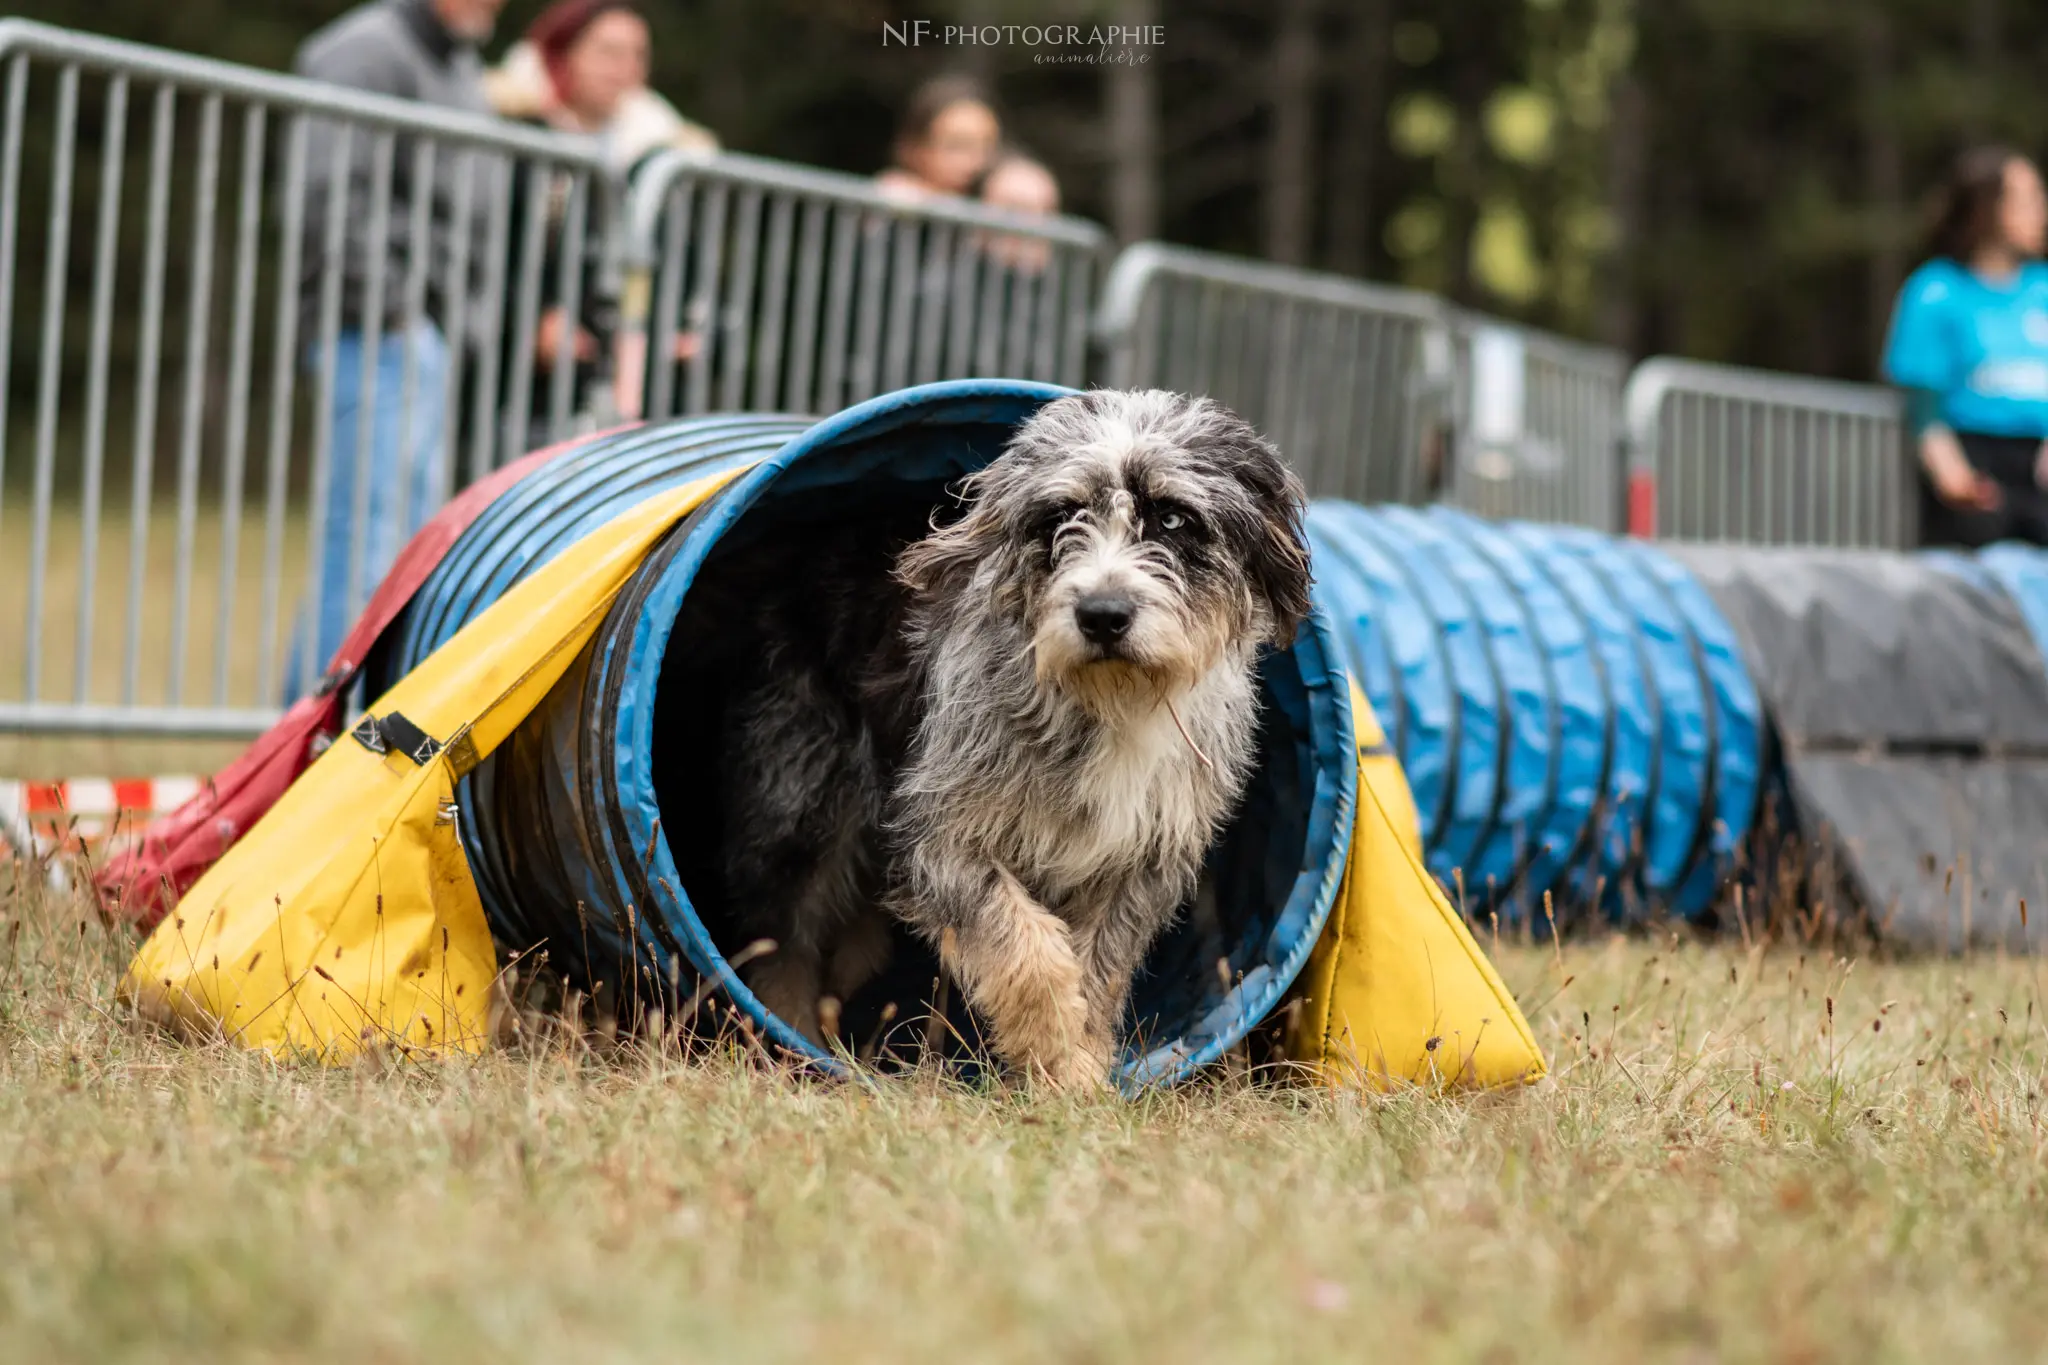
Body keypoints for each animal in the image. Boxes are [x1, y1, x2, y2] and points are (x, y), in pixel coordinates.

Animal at [704, 386, 1310, 1088]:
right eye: (1063, 515)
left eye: (1173, 518)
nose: (1102, 615)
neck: (1108, 702)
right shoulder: (944, 836)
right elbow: (1024, 944)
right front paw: (1052, 1046)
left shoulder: (1140, 863)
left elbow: (1100, 968)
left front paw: (1078, 1069)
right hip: (801, 808)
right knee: (783, 947)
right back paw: (792, 1046)